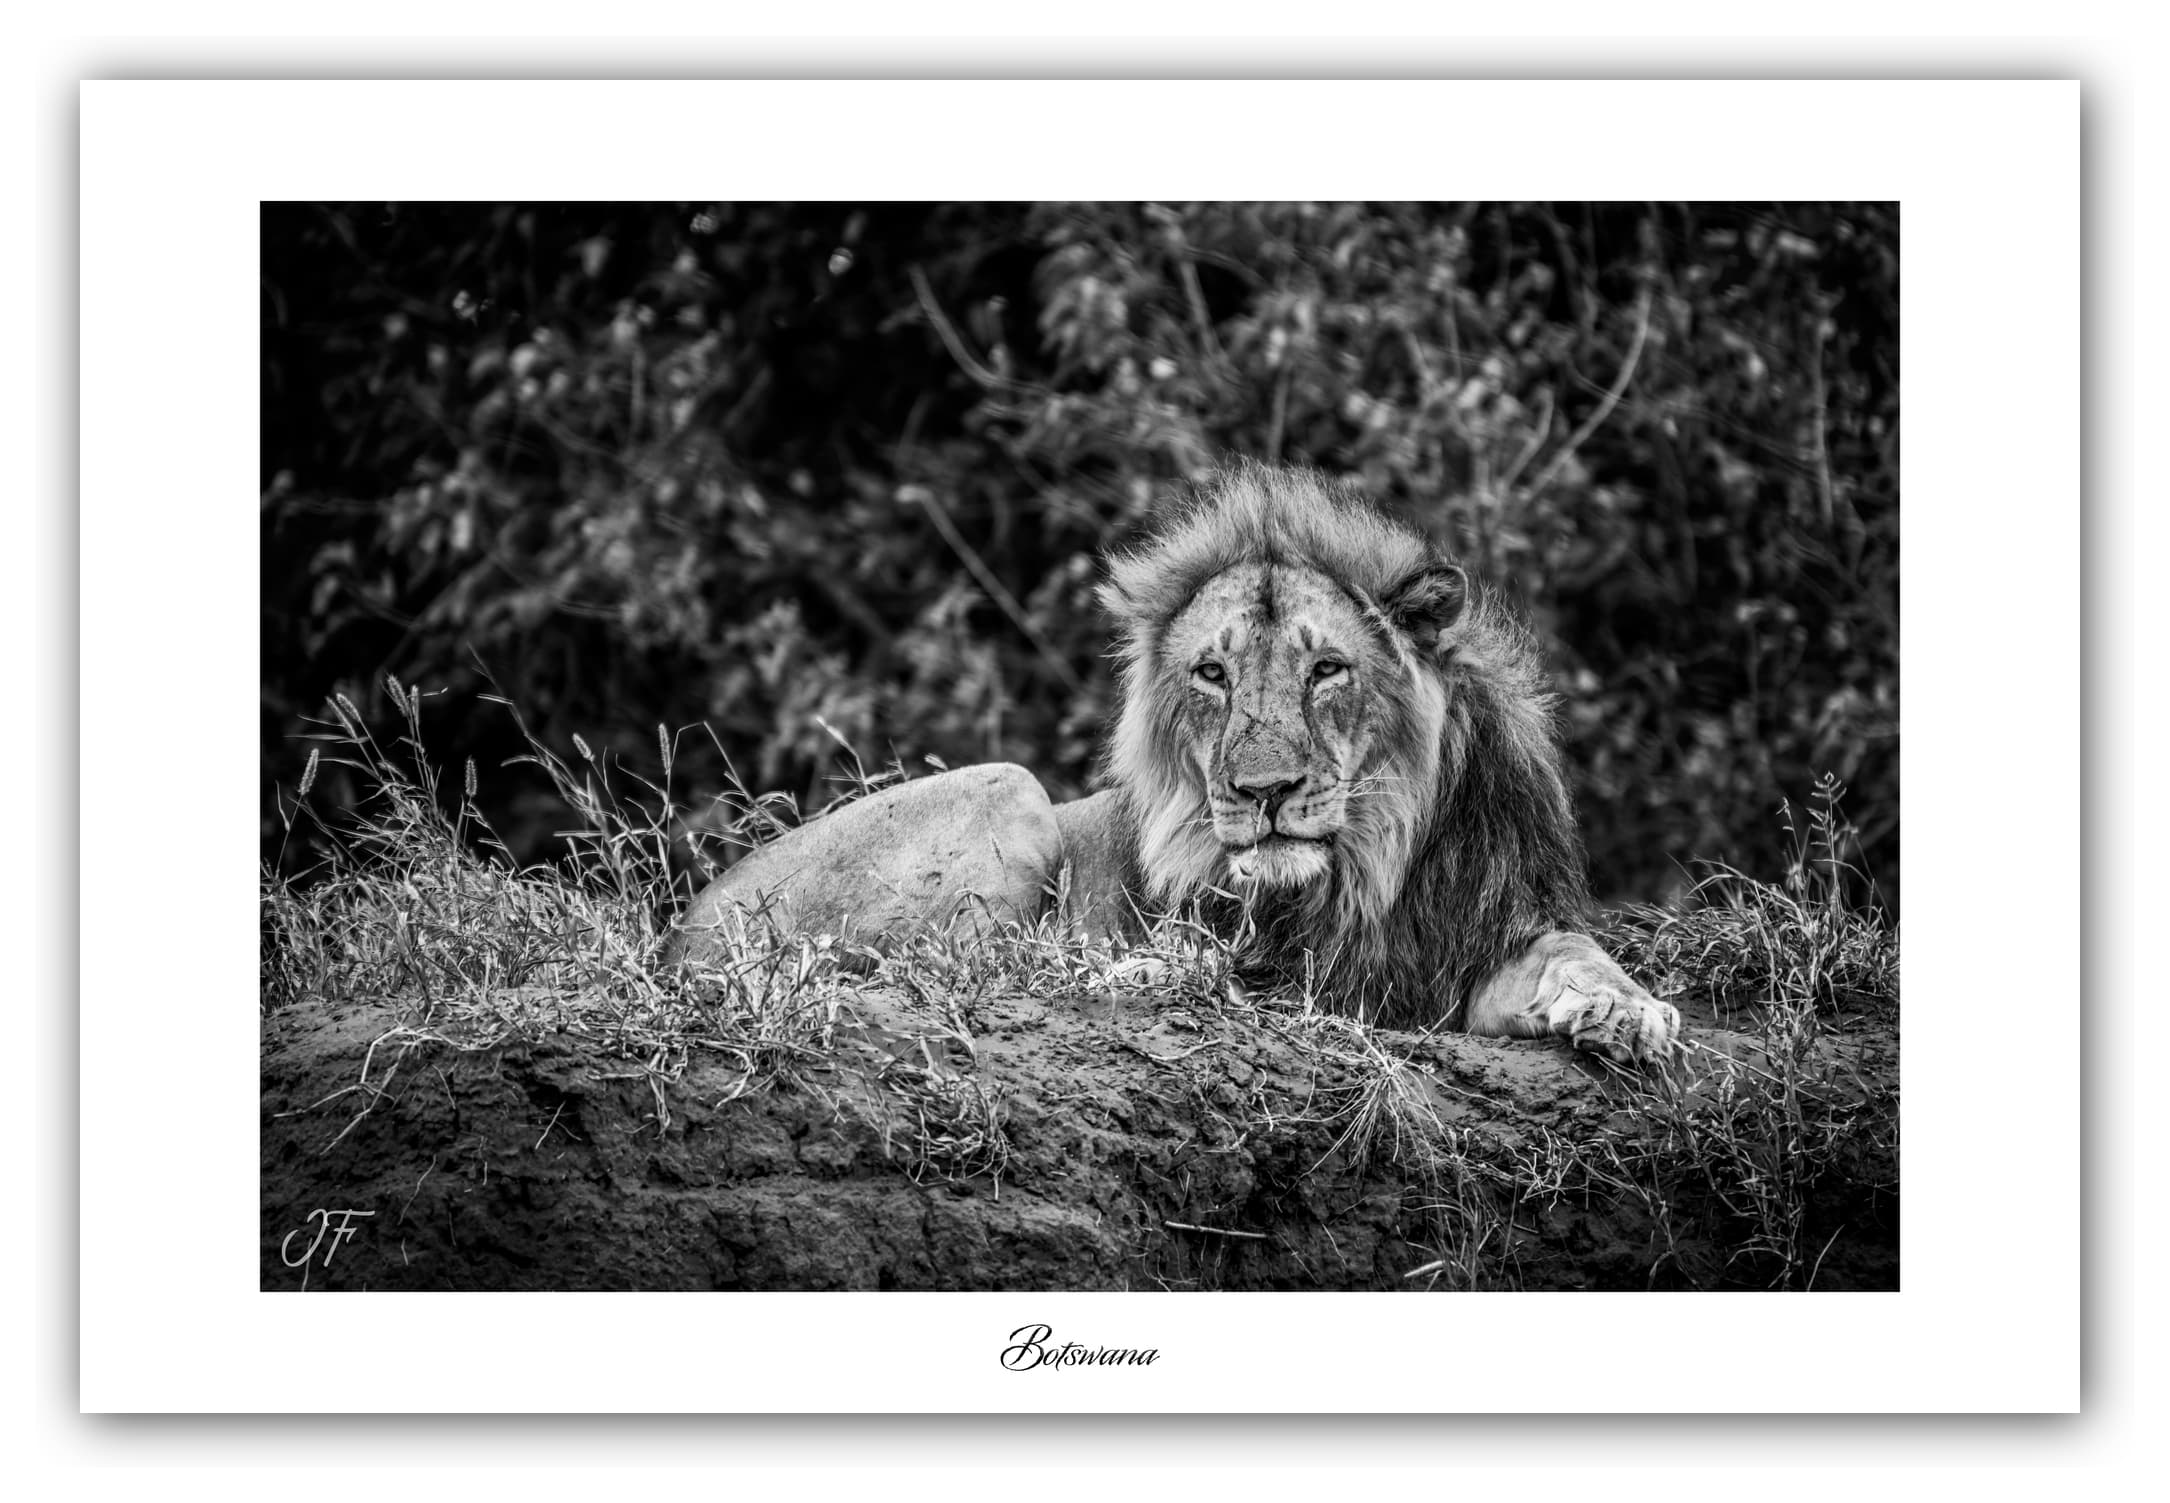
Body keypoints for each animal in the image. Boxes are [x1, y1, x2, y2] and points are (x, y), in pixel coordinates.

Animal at [670, 463, 1679, 1066]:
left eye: (1327, 669)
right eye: (1212, 674)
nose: (1263, 792)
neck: (1369, 864)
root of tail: (682, 927)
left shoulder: (1491, 930)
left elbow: (1580, 955)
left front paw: (1628, 1012)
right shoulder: (1289, 965)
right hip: (1011, 791)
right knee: (960, 968)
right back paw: (1131, 972)